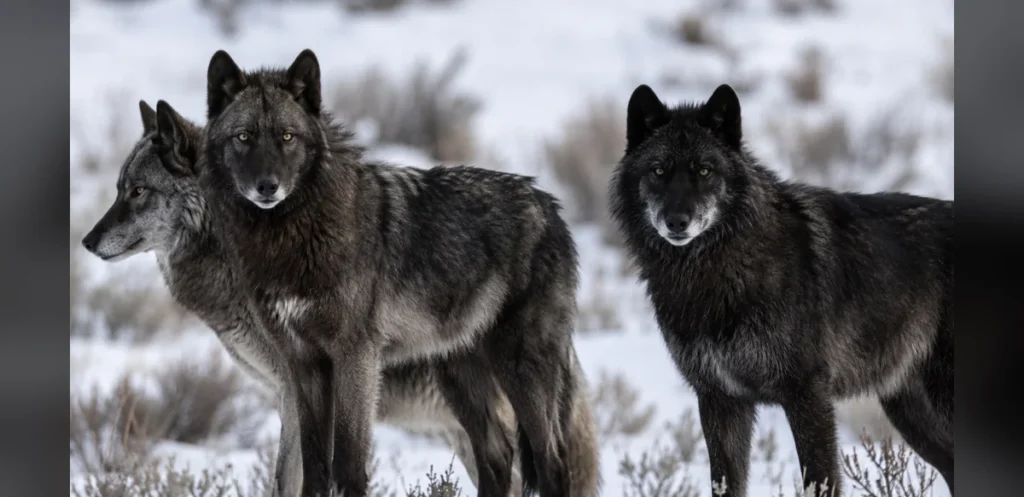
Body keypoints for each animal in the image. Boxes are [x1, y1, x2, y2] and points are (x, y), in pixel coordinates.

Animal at [199, 48, 598, 497]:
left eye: (287, 137)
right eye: (243, 137)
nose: (267, 187)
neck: (290, 235)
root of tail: (550, 206)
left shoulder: (356, 356)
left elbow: (348, 463)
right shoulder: (303, 364)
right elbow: (316, 466)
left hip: (521, 368)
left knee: (552, 460)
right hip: (459, 378)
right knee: (498, 455)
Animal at [609, 84, 953, 497]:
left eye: (704, 171)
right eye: (658, 171)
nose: (677, 222)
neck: (716, 271)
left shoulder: (808, 394)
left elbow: (820, 481)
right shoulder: (720, 399)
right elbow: (726, 484)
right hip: (911, 411)